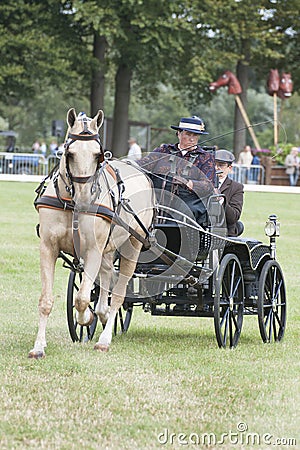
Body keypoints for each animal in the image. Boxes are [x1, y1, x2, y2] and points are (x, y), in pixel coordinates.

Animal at [29, 109, 154, 358]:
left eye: (98, 155)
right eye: (69, 154)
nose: (86, 199)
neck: (71, 204)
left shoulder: (93, 250)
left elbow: (82, 298)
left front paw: (86, 318)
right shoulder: (48, 247)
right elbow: (46, 300)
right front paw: (38, 346)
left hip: (132, 246)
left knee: (118, 293)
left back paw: (104, 338)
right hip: (109, 249)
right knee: (107, 277)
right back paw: (103, 315)